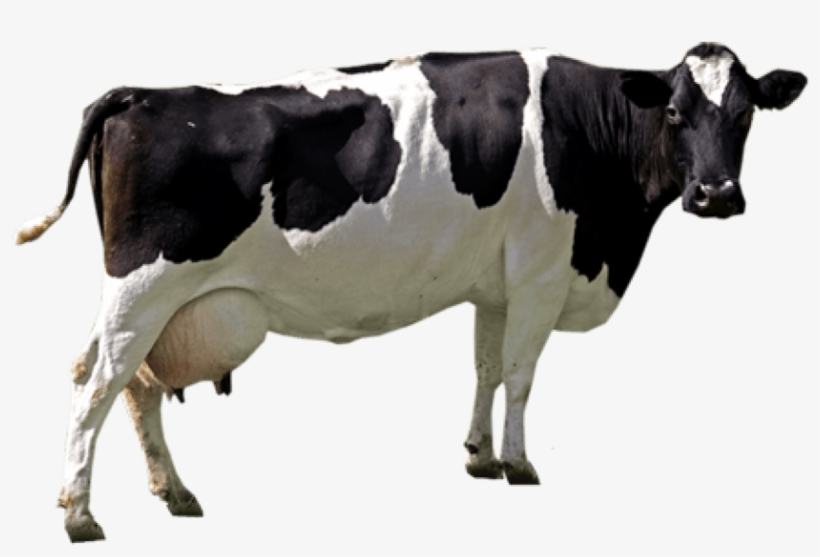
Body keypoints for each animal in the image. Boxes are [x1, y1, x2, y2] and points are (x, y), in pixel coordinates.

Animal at [16, 43, 806, 543]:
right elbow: (520, 375)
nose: (716, 194)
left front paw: (479, 454)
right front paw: (520, 463)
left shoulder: (496, 286)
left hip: (149, 301)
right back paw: (79, 515)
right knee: (97, 382)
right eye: (674, 112)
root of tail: (141, 94)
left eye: (745, 113)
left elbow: (486, 367)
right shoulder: (541, 273)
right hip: (145, 285)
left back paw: (174, 493)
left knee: (134, 386)